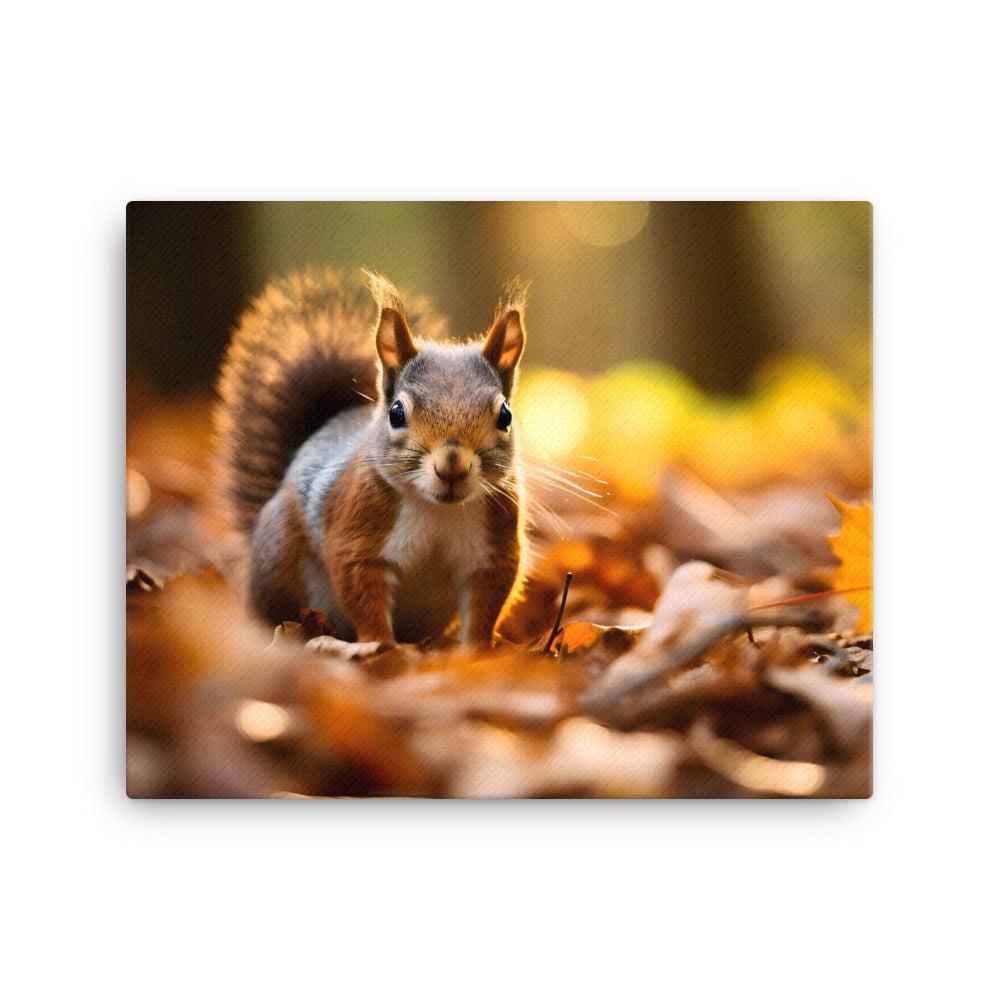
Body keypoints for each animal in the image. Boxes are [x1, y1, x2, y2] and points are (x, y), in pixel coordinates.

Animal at [215, 266, 529, 647]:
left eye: (505, 415)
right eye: (396, 413)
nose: (451, 466)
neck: (437, 510)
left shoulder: (492, 552)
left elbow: (485, 607)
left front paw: (477, 652)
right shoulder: (357, 535)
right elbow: (363, 595)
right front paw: (382, 648)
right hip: (276, 562)